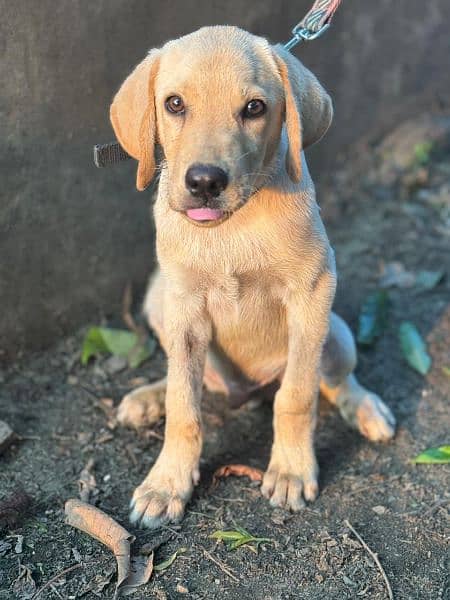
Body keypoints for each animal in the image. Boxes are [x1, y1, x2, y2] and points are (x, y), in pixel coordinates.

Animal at [110, 25, 396, 528]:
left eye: (254, 108)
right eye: (174, 104)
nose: (205, 182)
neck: (231, 229)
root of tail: (246, 392)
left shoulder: (311, 294)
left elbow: (297, 396)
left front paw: (291, 470)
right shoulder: (184, 305)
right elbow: (184, 406)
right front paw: (167, 483)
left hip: (336, 331)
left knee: (335, 381)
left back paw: (365, 408)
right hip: (157, 299)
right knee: (190, 380)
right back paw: (149, 396)